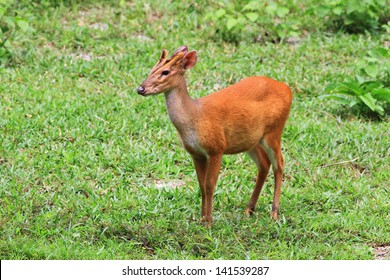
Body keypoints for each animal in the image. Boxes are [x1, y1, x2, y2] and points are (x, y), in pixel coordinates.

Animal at [137, 44, 292, 226]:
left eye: (165, 72)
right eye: (152, 69)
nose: (141, 89)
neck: (194, 117)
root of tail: (287, 89)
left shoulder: (216, 148)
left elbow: (210, 185)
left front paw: (209, 222)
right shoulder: (196, 153)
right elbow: (202, 185)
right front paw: (202, 219)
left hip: (274, 131)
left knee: (279, 164)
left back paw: (274, 213)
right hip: (251, 140)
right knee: (264, 164)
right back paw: (249, 209)